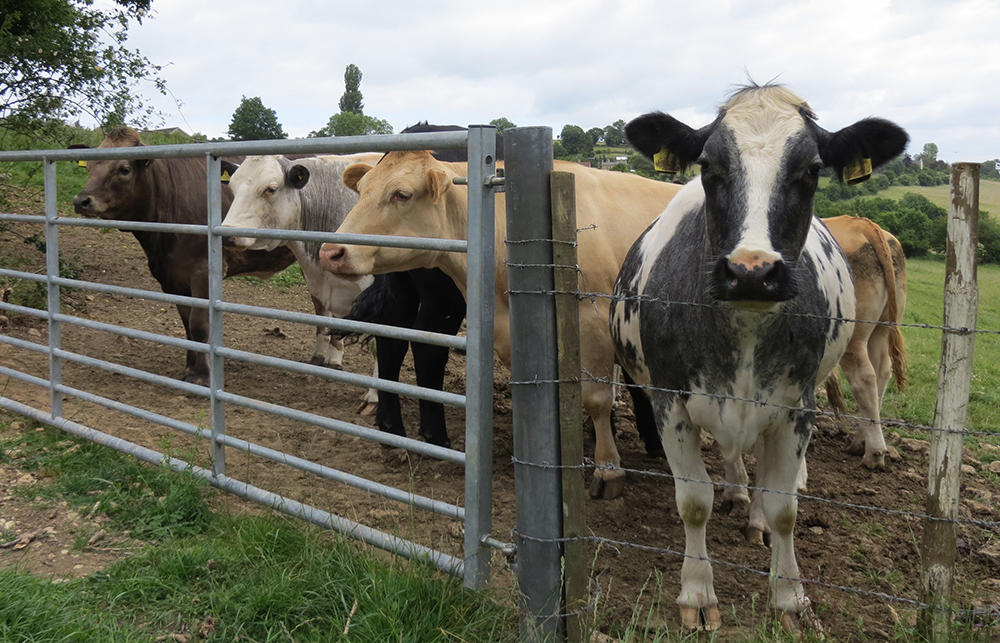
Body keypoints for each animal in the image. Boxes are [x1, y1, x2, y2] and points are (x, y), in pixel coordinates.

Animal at [70, 126, 297, 386]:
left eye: (124, 169)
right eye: (89, 166)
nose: (81, 201)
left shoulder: (202, 272)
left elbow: (199, 325)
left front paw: (203, 376)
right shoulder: (169, 277)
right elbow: (187, 325)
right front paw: (190, 370)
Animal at [317, 151, 683, 498]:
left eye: (402, 194)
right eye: (363, 189)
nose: (330, 252)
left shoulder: (596, 329)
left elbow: (597, 399)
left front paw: (608, 469)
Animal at [823, 215, 908, 470]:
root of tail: (863, 224)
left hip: (853, 336)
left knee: (864, 378)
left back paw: (874, 453)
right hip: (881, 328)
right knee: (882, 372)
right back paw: (861, 442)